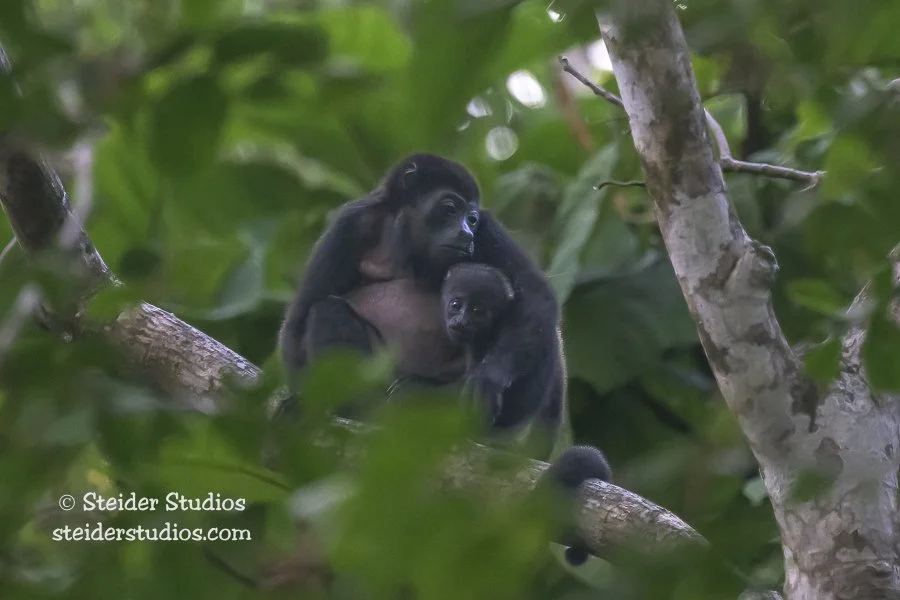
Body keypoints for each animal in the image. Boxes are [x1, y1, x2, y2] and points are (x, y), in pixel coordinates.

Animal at [276, 153, 611, 566]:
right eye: (449, 208)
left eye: (473, 218)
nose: (466, 233)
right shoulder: (349, 224)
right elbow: (300, 317)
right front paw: (305, 406)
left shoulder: (490, 229)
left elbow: (538, 297)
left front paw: (489, 378)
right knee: (325, 311)